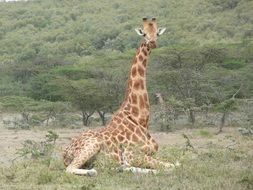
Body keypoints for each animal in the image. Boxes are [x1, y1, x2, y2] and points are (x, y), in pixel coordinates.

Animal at [62, 17, 179, 175]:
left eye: (157, 33)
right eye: (144, 34)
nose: (153, 43)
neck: (140, 119)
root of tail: (64, 153)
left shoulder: (147, 154)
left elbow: (175, 163)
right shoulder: (133, 154)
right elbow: (171, 166)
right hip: (92, 145)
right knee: (70, 168)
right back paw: (94, 172)